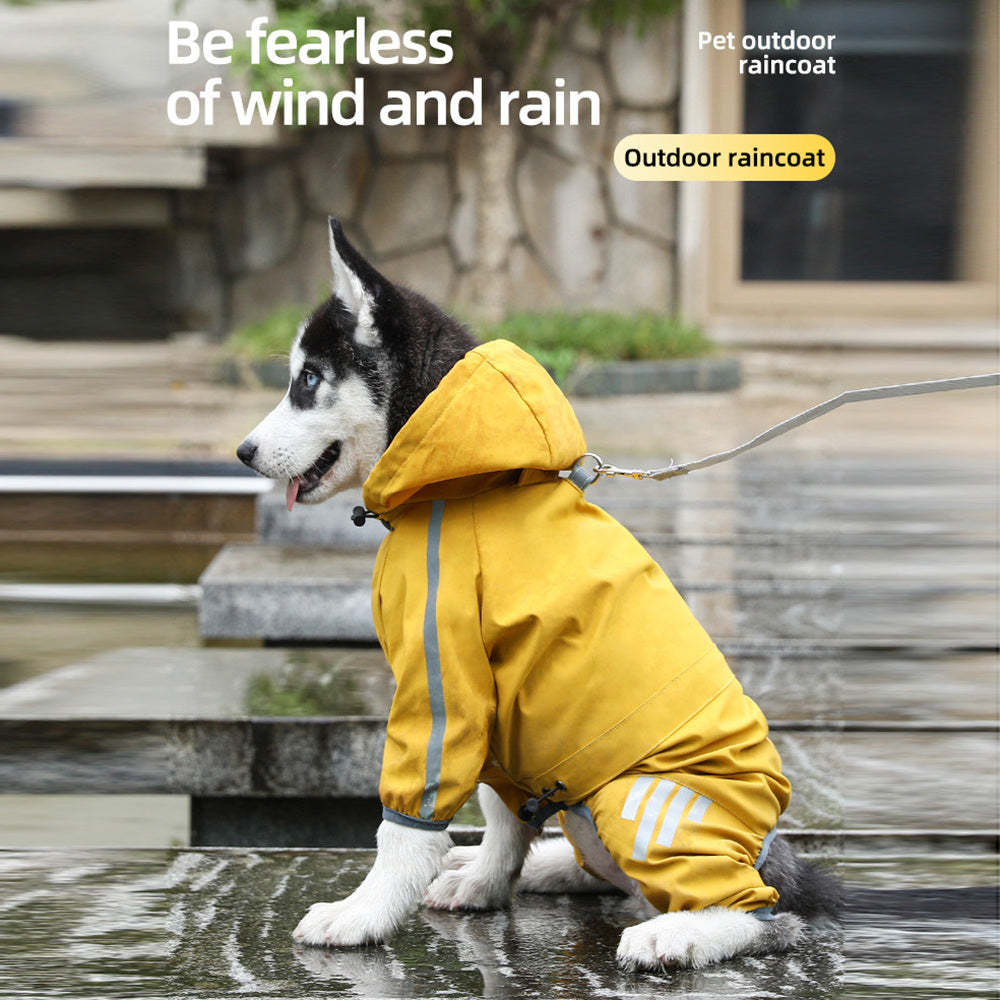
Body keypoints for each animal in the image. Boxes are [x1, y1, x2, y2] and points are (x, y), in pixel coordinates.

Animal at [238, 223, 840, 972]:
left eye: (309, 380)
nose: (242, 452)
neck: (463, 477)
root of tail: (768, 849)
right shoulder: (499, 707)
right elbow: (501, 815)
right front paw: (488, 882)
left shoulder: (445, 681)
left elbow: (405, 828)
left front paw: (363, 914)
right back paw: (550, 867)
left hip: (644, 799)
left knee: (761, 914)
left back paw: (682, 932)